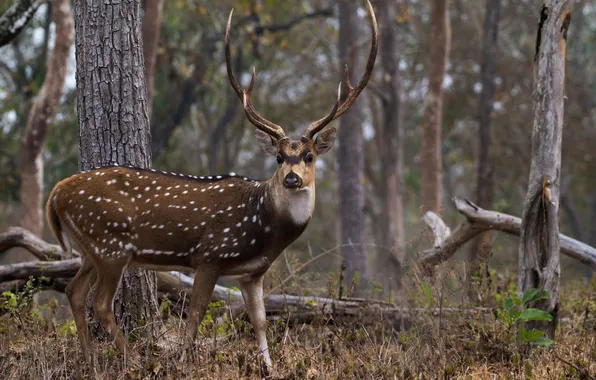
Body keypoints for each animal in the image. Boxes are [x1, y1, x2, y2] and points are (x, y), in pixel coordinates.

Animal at [45, 0, 378, 368]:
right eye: (279, 157)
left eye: (309, 156)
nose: (292, 179)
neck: (265, 228)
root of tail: (55, 194)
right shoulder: (211, 254)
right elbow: (196, 312)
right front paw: (183, 360)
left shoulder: (252, 272)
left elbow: (260, 319)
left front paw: (269, 366)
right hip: (110, 244)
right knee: (100, 301)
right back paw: (131, 359)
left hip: (92, 248)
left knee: (74, 291)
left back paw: (89, 358)